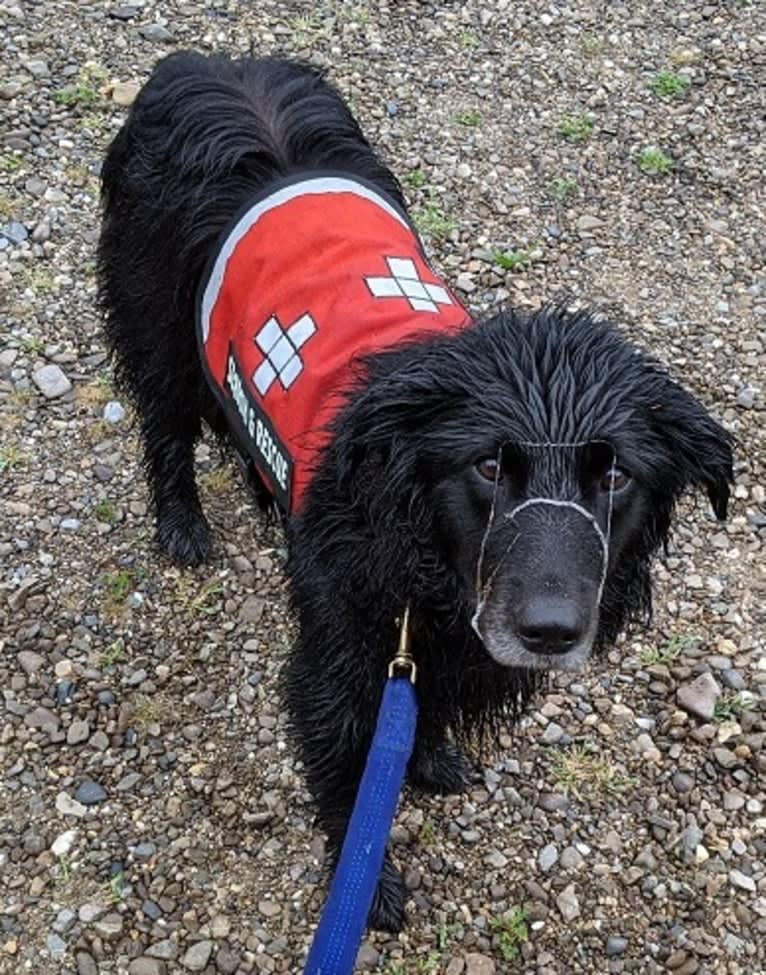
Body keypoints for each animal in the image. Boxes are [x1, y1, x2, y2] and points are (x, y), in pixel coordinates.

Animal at [99, 51, 736, 932]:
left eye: (615, 474)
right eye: (487, 467)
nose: (548, 631)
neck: (421, 550)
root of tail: (206, 63)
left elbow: (420, 718)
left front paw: (428, 758)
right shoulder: (341, 654)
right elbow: (346, 768)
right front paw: (366, 883)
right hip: (156, 325)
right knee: (164, 428)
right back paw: (182, 524)